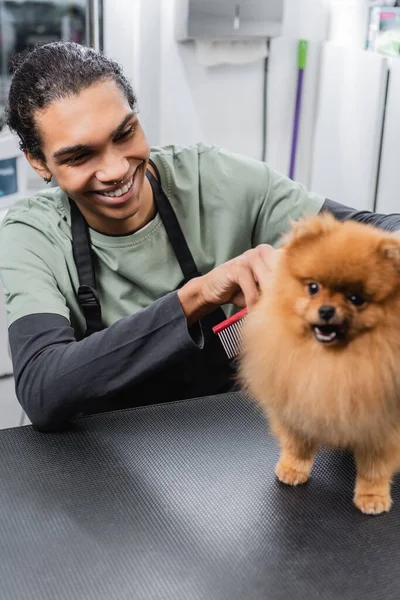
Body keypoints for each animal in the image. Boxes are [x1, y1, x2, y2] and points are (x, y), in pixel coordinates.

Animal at [239, 213, 400, 512]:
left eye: (356, 299)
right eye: (313, 288)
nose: (326, 310)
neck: (330, 361)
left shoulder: (382, 426)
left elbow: (375, 467)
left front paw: (372, 496)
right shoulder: (297, 404)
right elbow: (297, 445)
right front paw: (292, 470)